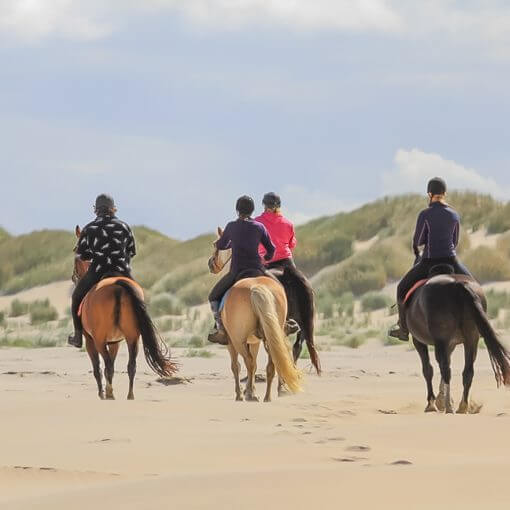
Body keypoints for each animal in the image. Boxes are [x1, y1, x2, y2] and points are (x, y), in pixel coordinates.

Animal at [70, 226, 176, 398]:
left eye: (75, 251)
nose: (74, 277)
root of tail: (118, 284)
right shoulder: (115, 342)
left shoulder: (90, 340)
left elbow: (98, 368)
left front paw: (102, 393)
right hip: (133, 338)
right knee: (130, 366)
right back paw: (129, 396)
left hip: (100, 340)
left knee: (106, 365)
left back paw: (110, 395)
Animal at [208, 233, 300, 400]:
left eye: (215, 244)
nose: (211, 264)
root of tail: (257, 287)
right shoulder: (255, 340)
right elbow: (256, 364)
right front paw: (250, 390)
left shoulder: (231, 342)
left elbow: (237, 366)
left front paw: (242, 393)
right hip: (271, 336)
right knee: (271, 364)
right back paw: (267, 397)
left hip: (238, 340)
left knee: (247, 362)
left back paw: (249, 396)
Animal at [406, 266, 510, 414]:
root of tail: (459, 285)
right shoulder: (451, 344)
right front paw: (440, 400)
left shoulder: (419, 341)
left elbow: (428, 370)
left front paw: (432, 403)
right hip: (471, 339)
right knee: (467, 372)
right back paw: (462, 406)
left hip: (442, 340)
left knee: (445, 369)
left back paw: (449, 406)